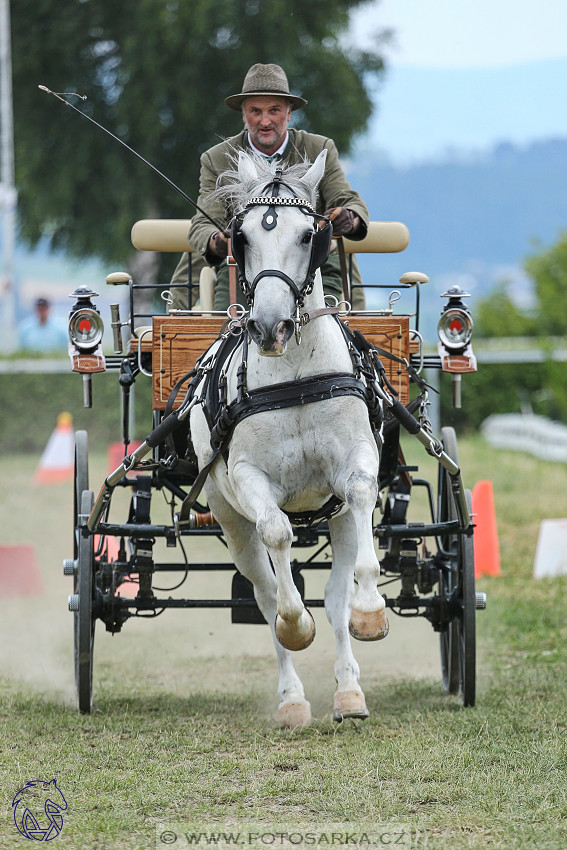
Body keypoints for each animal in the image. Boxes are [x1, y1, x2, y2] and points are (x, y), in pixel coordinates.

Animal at [191, 149, 390, 724]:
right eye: (240, 237)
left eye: (310, 235)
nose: (269, 327)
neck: (296, 374)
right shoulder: (248, 480)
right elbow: (277, 538)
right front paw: (297, 625)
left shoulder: (356, 463)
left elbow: (363, 500)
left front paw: (372, 612)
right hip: (230, 519)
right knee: (264, 591)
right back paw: (293, 697)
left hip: (336, 518)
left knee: (336, 594)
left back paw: (349, 692)